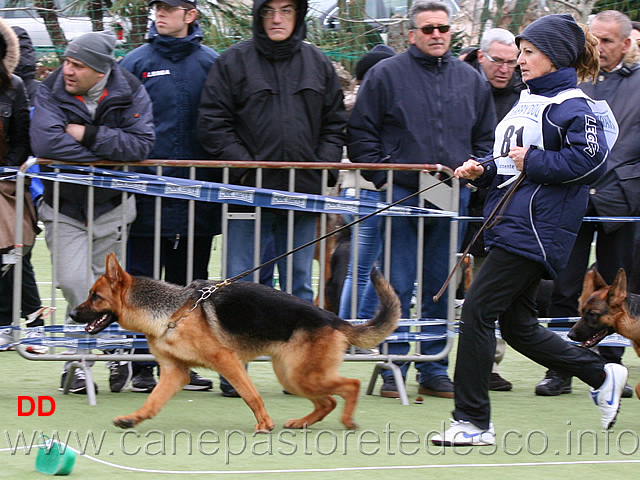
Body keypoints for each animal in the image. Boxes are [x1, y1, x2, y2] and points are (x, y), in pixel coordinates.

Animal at [70, 253, 400, 434]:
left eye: (95, 297)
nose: (71, 313)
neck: (173, 312)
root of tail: (334, 319)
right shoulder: (175, 373)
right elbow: (152, 402)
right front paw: (133, 419)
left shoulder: (226, 361)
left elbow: (251, 395)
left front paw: (264, 424)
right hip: (293, 376)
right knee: (328, 400)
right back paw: (303, 423)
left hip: (301, 375)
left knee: (350, 386)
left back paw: (347, 420)